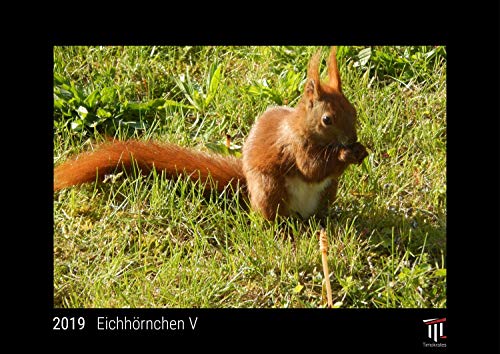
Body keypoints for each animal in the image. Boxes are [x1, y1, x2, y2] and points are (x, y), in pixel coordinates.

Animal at [53, 45, 368, 220]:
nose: (352, 140)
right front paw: (345, 155)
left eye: (354, 110)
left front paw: (361, 151)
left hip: (327, 192)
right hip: (269, 189)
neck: (303, 128)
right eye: (327, 119)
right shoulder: (293, 147)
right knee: (274, 217)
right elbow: (312, 168)